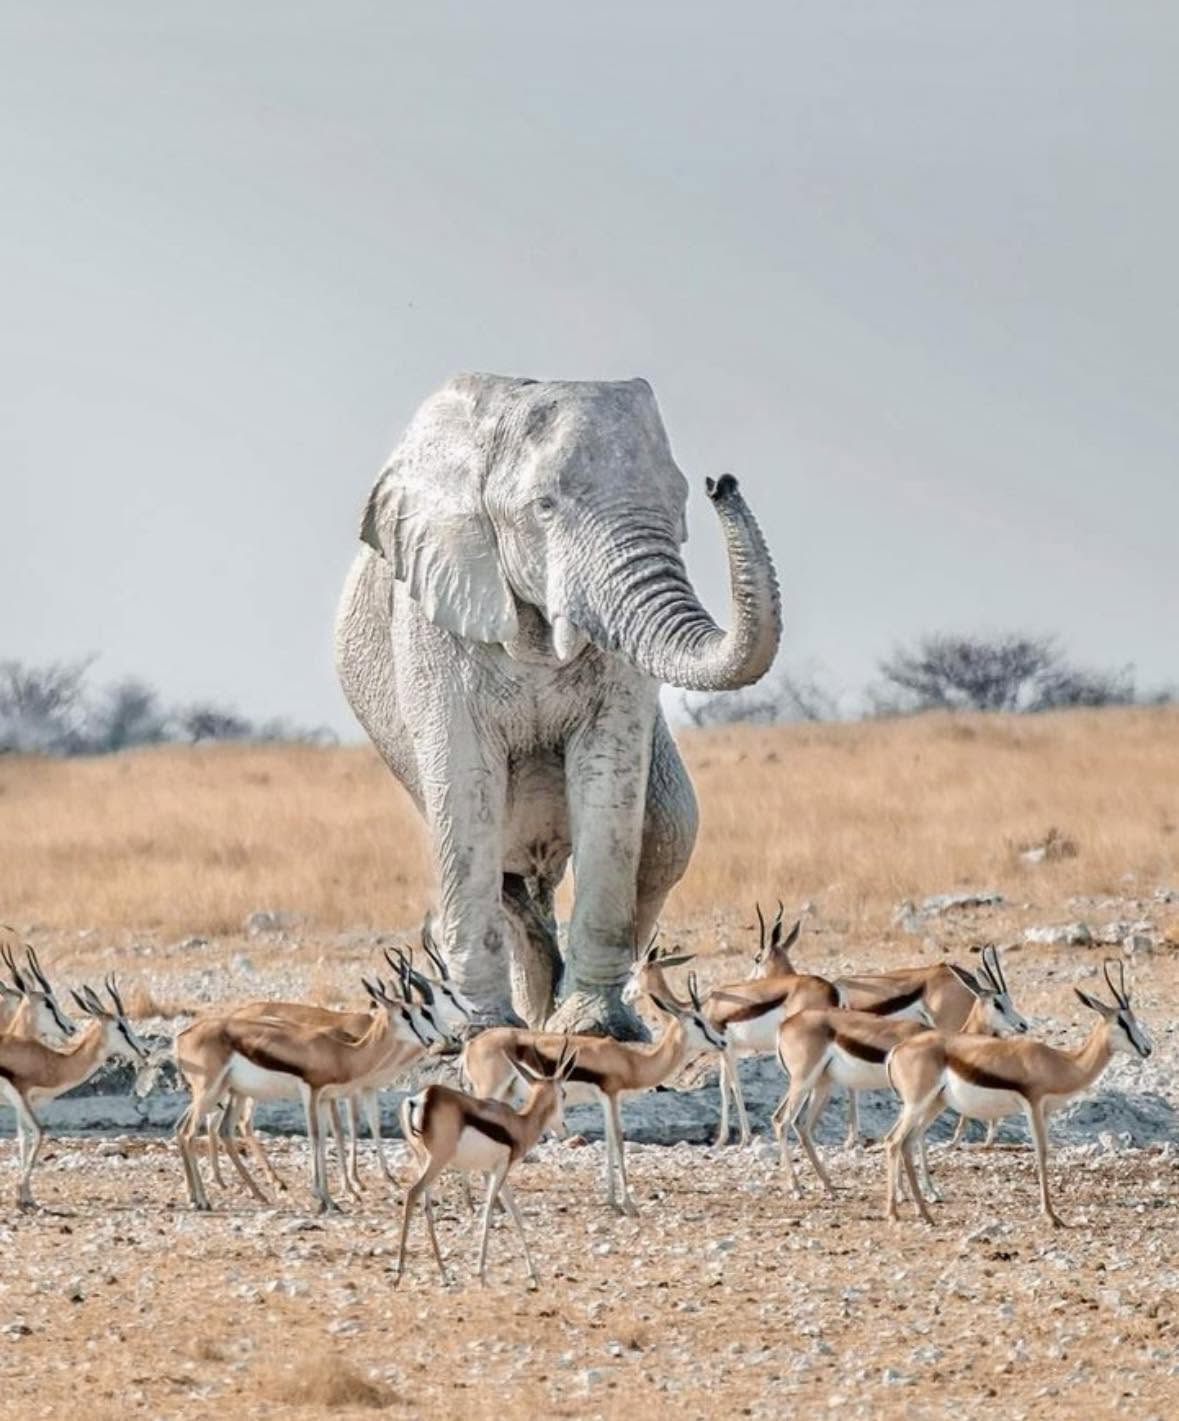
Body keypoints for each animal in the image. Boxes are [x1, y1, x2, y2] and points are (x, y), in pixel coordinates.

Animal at [334, 374, 781, 1037]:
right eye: (544, 507)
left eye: (679, 499)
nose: (720, 483)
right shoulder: (433, 615)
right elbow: (466, 789)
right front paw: (485, 1034)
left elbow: (610, 776)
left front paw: (594, 1029)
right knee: (502, 868)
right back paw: (528, 1015)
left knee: (668, 829)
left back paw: (558, 1013)